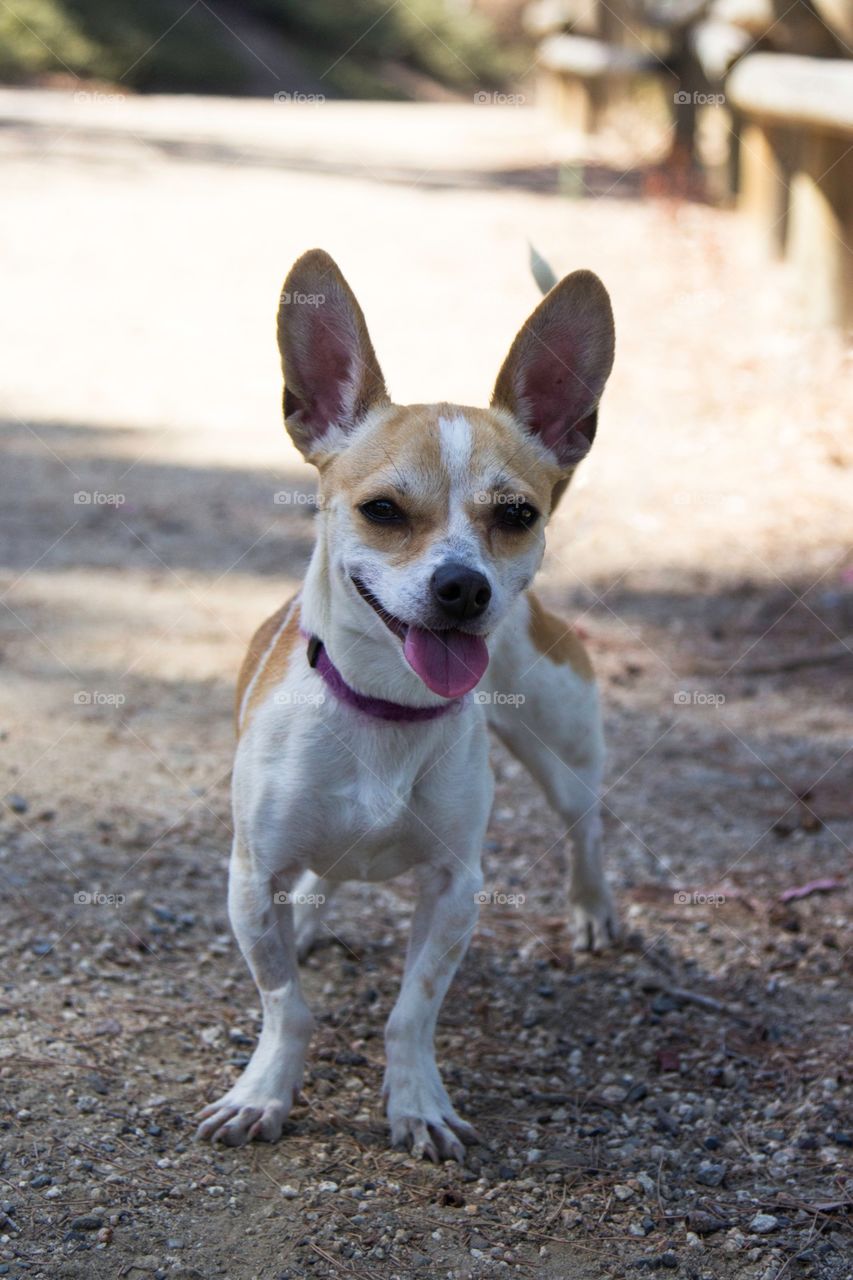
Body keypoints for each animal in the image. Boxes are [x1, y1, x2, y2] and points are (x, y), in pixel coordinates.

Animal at [195, 247, 614, 1162]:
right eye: (382, 510)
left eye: (516, 514)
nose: (463, 586)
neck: (384, 713)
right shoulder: (249, 877)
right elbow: (285, 1003)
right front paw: (263, 1092)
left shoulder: (455, 889)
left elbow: (410, 1013)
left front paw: (417, 1102)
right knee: (316, 886)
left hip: (563, 749)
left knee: (584, 827)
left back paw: (593, 911)